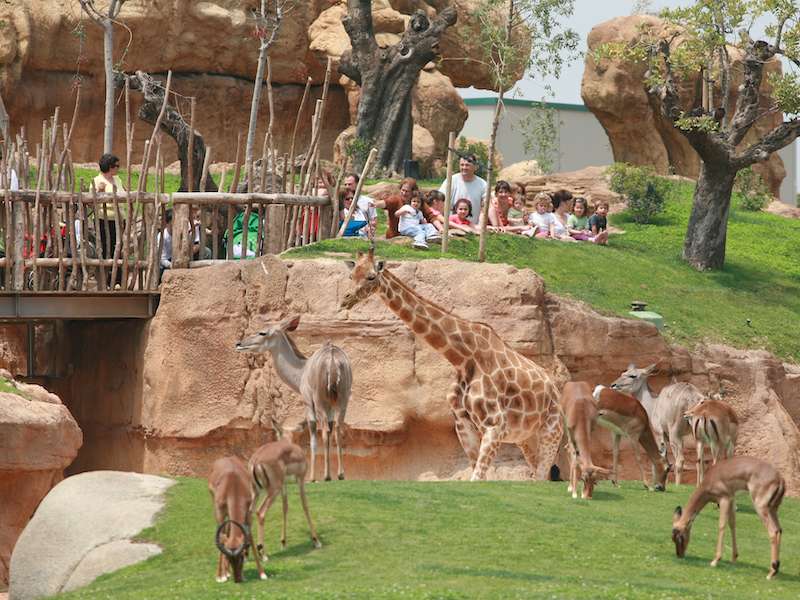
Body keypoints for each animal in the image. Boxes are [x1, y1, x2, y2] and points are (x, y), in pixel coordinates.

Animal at [236, 316, 352, 480]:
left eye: (262, 332)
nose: (239, 344)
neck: (302, 369)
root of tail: (332, 357)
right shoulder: (330, 406)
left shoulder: (308, 402)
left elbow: (313, 436)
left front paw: (312, 477)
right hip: (343, 400)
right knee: (337, 430)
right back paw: (340, 474)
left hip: (320, 401)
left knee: (324, 431)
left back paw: (326, 476)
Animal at [250, 420, 324, 564]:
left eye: (276, 434)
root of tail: (256, 460)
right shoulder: (301, 480)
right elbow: (305, 505)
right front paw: (317, 541)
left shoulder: (284, 485)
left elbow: (285, 507)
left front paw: (283, 543)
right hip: (272, 490)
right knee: (260, 512)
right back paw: (263, 553)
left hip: (256, 492)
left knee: (248, 513)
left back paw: (245, 554)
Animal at [340, 250, 560, 482]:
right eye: (351, 275)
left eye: (371, 277)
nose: (346, 300)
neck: (463, 359)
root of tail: (554, 386)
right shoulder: (464, 425)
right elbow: (477, 477)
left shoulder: (495, 426)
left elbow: (477, 478)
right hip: (525, 437)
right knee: (540, 475)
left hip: (551, 429)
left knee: (544, 473)